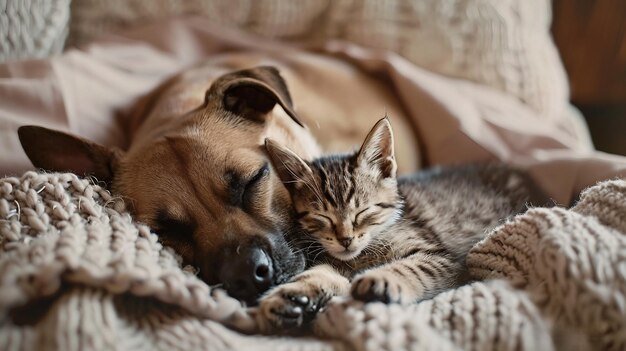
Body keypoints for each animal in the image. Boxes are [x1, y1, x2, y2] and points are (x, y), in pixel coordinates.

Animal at [256, 117, 544, 330]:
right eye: (321, 218)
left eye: (363, 212)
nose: (345, 239)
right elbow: (322, 272)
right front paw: (291, 294)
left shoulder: (442, 258)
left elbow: (411, 267)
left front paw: (381, 278)